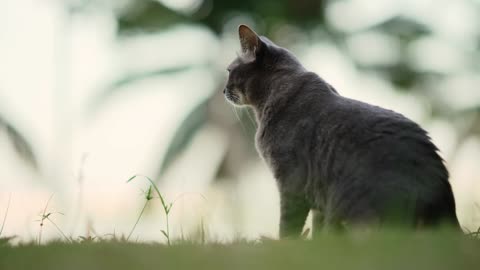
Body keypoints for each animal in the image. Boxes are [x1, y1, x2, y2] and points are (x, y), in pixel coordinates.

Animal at [223, 24, 460, 237]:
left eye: (229, 71)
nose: (223, 90)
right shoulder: (317, 196)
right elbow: (317, 232)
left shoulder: (291, 182)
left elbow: (288, 227)